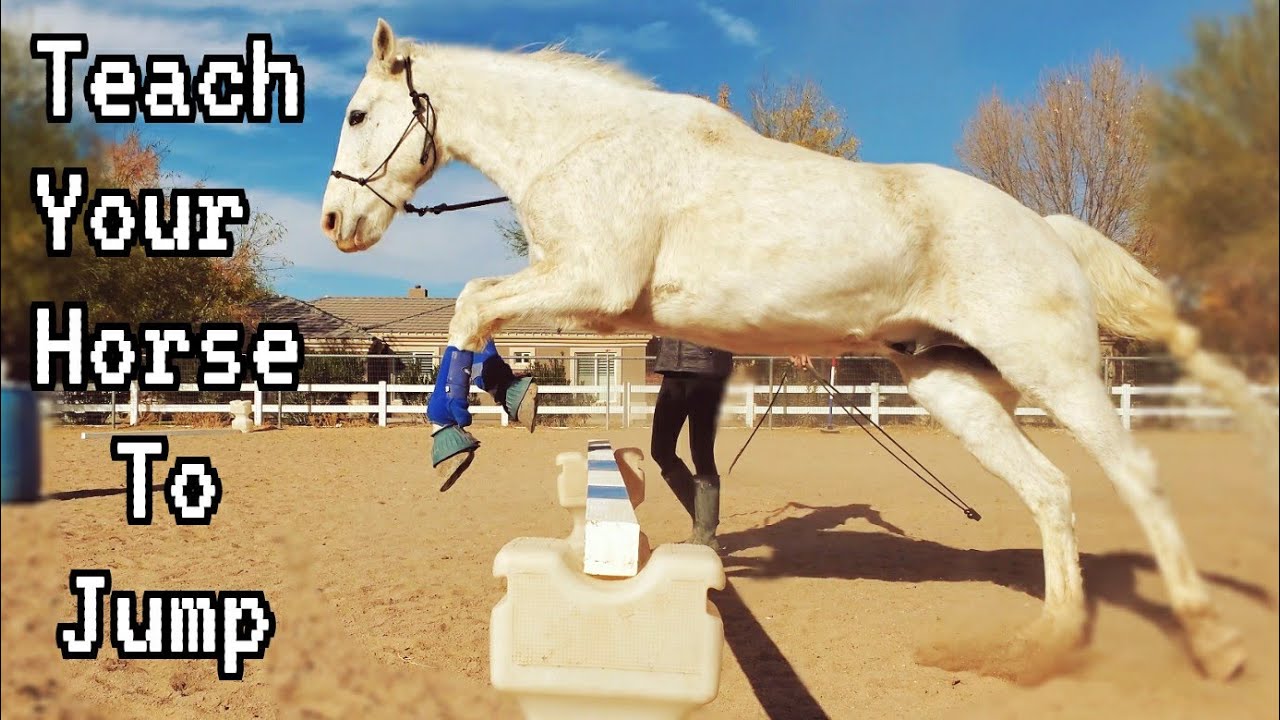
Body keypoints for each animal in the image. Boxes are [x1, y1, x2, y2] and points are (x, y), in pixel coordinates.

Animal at [319, 19, 1277, 683]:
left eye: (359, 112)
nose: (335, 223)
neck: (587, 147)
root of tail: (1045, 226)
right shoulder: (588, 299)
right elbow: (480, 312)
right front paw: (508, 399)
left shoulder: (593, 283)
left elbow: (472, 304)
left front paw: (453, 434)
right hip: (954, 386)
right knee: (1050, 492)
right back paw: (1041, 647)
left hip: (1056, 371)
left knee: (1135, 479)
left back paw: (1212, 642)